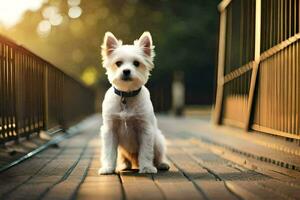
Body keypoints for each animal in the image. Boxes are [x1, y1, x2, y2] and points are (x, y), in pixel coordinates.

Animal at [98, 31, 169, 175]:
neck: (126, 95)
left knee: (158, 156)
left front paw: (147, 167)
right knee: (124, 158)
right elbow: (109, 152)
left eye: (136, 63)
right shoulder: (110, 130)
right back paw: (124, 165)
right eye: (118, 63)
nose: (126, 71)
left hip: (158, 140)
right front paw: (107, 168)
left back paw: (162, 164)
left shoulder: (145, 130)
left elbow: (146, 152)